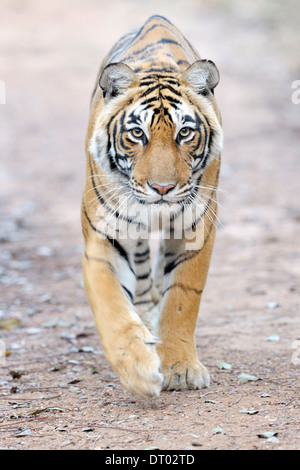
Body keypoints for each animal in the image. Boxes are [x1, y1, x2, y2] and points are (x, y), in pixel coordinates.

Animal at [81, 14, 223, 398]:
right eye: (137, 134)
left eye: (184, 133)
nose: (162, 188)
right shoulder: (104, 238)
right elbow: (112, 305)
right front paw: (137, 368)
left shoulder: (195, 229)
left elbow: (181, 299)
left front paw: (181, 369)